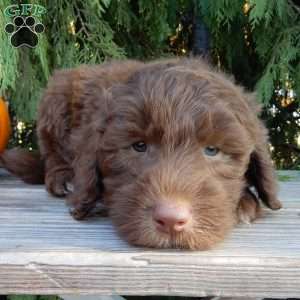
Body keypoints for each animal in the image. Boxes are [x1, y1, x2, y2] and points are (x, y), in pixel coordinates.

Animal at [0, 57, 282, 250]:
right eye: (139, 145)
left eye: (212, 149)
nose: (171, 220)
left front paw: (244, 201)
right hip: (57, 97)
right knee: (51, 152)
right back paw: (64, 178)